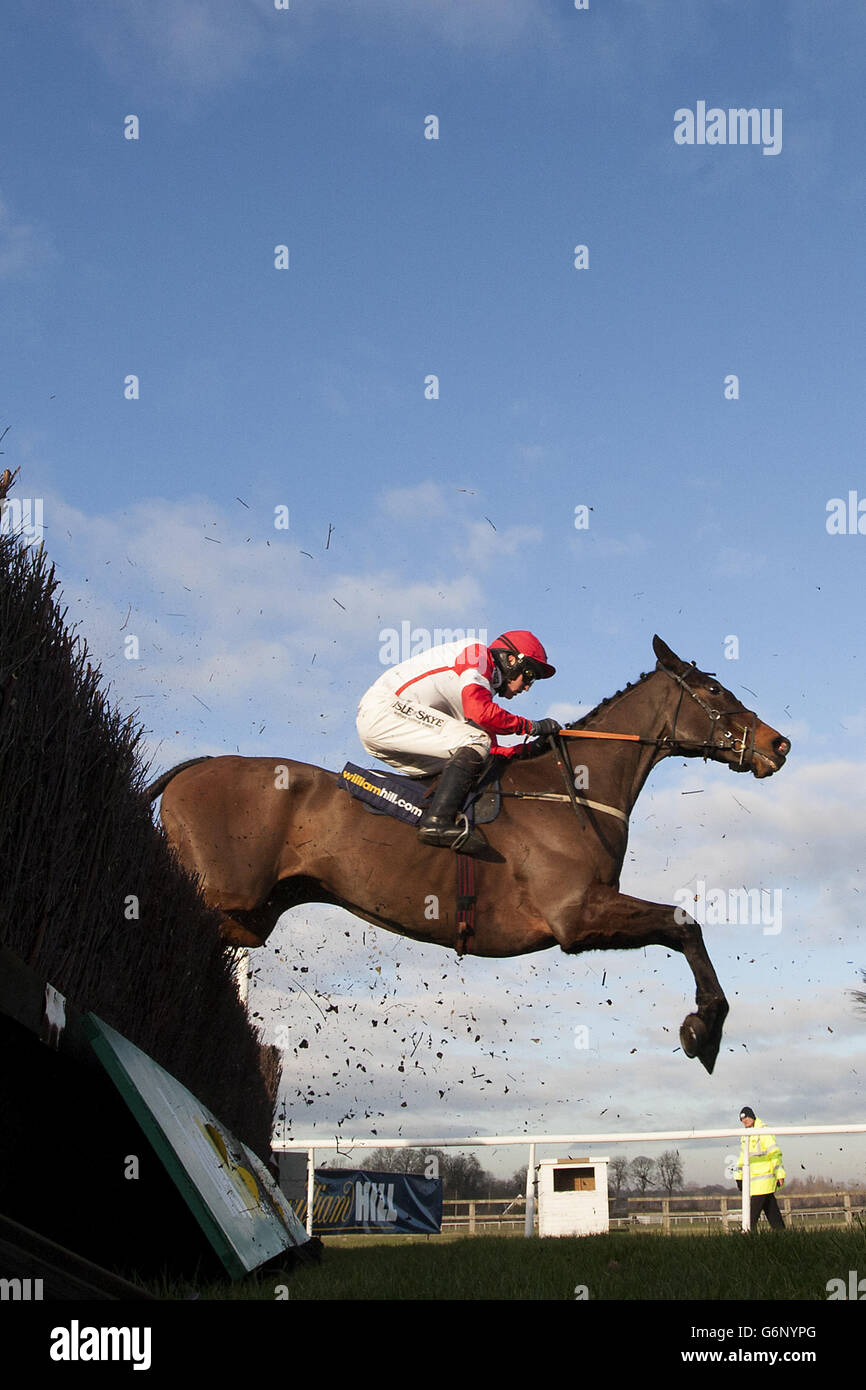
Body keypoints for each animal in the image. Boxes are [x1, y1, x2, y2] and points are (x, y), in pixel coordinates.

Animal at [145, 636, 789, 1067]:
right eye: (714, 690)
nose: (778, 744)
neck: (570, 788)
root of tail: (191, 768)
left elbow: (683, 925)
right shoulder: (576, 915)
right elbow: (684, 923)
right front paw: (704, 1028)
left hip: (251, 917)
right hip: (224, 897)